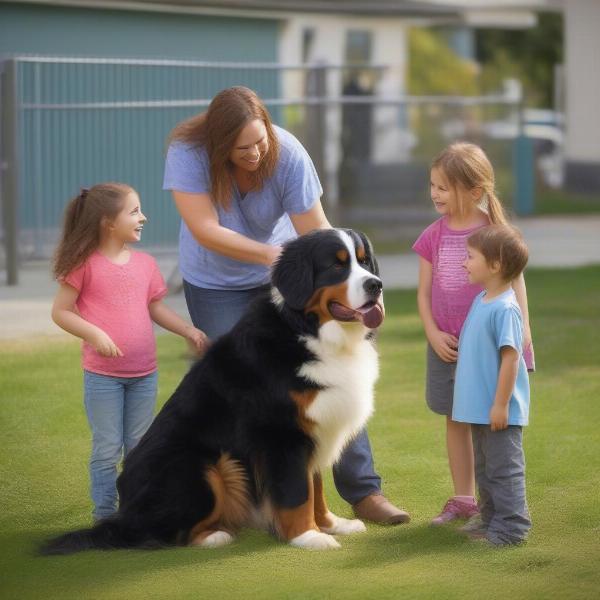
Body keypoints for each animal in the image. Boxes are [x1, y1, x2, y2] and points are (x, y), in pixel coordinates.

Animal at [42, 229, 386, 552]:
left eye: (364, 261)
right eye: (336, 266)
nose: (376, 285)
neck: (307, 330)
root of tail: (122, 514)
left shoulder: (315, 429)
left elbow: (316, 489)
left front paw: (332, 525)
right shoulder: (283, 435)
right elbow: (297, 493)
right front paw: (308, 537)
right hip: (202, 466)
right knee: (162, 534)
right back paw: (215, 536)